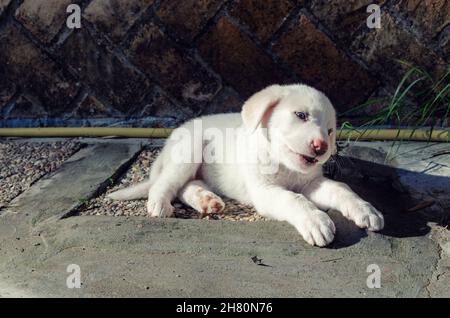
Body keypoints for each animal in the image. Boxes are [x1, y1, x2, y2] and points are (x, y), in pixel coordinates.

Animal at [110, 84, 384, 246]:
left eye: (329, 131)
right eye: (301, 115)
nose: (321, 147)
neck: (284, 165)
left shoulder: (311, 183)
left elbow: (341, 188)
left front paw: (365, 209)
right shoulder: (265, 191)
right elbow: (293, 199)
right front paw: (315, 220)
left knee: (186, 185)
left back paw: (206, 200)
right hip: (188, 149)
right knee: (167, 183)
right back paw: (159, 203)